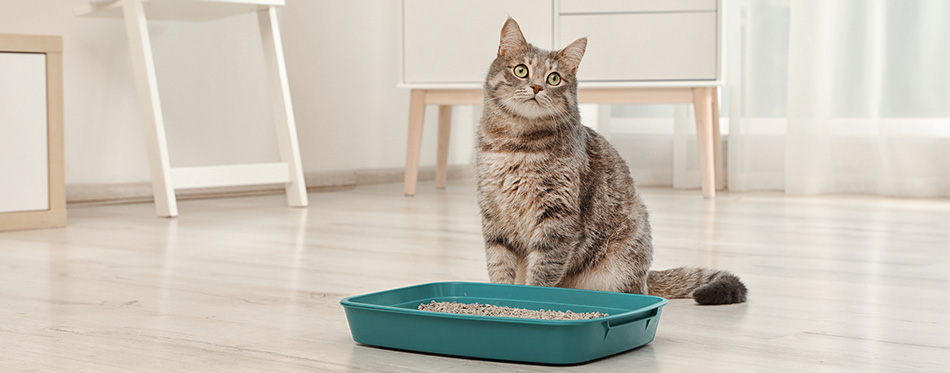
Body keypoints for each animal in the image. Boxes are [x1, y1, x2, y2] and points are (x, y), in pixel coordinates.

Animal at [476, 18, 752, 306]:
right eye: (521, 70)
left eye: (554, 78)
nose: (537, 87)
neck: (515, 146)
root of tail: (645, 277)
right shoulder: (494, 217)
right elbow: (499, 266)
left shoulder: (558, 218)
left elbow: (542, 271)